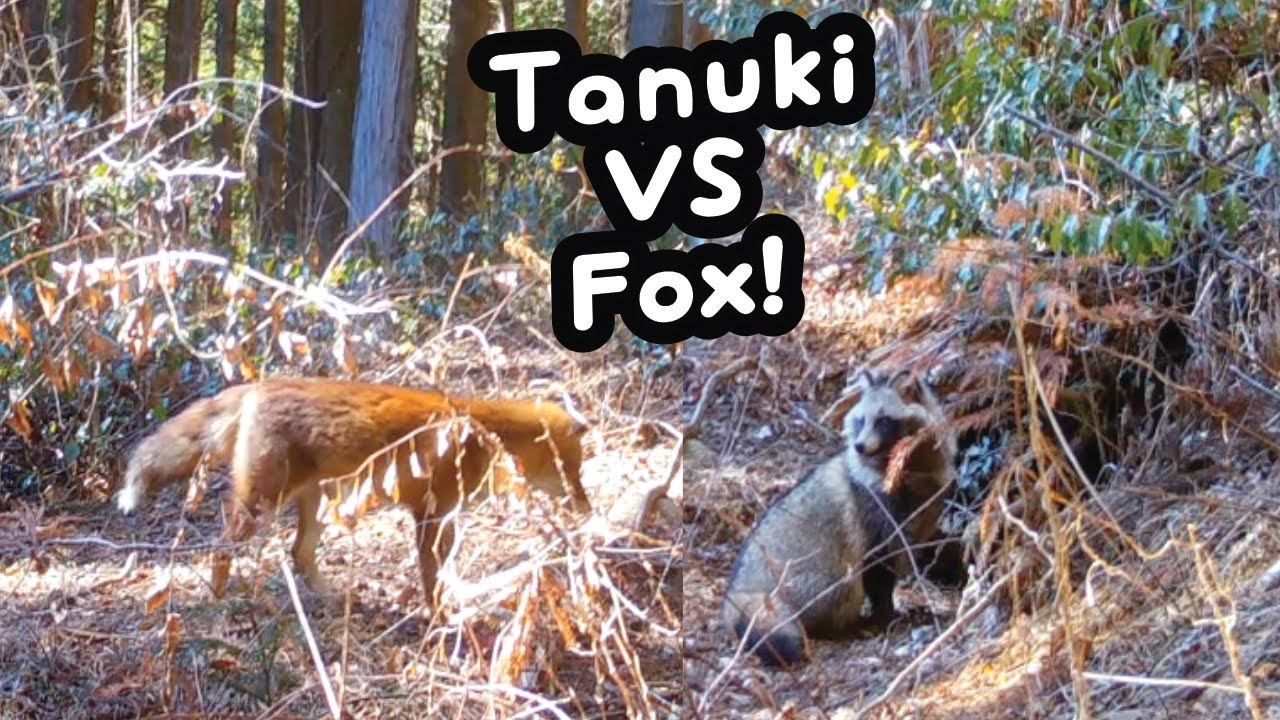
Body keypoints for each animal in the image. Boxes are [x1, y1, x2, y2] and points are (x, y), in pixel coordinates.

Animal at [116, 377, 592, 603]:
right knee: (221, 547)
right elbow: (432, 581)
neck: (484, 434)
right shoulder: (431, 512)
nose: (588, 508)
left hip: (314, 505)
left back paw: (331, 597)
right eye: (570, 470)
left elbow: (445, 574)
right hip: (262, 503)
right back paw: (217, 599)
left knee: (298, 553)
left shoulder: (446, 516)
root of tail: (261, 385)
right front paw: (440, 621)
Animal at [723, 368, 955, 667]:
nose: (859, 446)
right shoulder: (873, 510)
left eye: (883, 420)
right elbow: (877, 567)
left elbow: (925, 546)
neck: (903, 466)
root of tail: (737, 593)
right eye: (861, 420)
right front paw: (884, 615)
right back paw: (846, 626)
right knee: (843, 586)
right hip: (806, 580)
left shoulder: (925, 505)